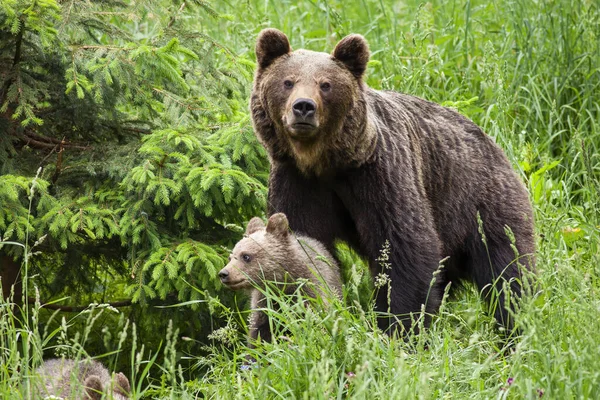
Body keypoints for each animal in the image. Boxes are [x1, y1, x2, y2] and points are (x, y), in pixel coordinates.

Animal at [219, 214, 342, 346]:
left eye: (246, 256)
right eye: (230, 257)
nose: (223, 274)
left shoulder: (311, 295)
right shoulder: (264, 308)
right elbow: (260, 336)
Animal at [248, 28, 536, 332]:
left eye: (325, 84)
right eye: (288, 81)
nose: (304, 107)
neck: (324, 162)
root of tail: (493, 142)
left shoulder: (380, 175)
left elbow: (404, 247)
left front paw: (399, 324)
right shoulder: (298, 182)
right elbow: (304, 245)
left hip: (479, 202)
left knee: (507, 269)